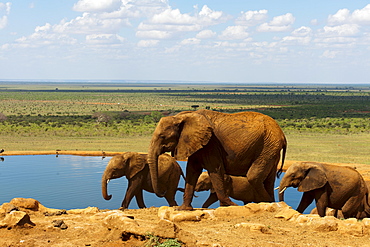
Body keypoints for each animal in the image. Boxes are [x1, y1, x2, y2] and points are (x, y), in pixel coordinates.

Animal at [147, 109, 286, 210]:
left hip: (268, 146)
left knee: (254, 177)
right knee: (269, 180)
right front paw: (183, 209)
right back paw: (271, 204)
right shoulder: (197, 144)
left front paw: (231, 206)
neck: (182, 117)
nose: (163, 191)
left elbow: (215, 170)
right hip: (271, 148)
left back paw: (267, 204)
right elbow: (192, 170)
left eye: (162, 136)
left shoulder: (211, 144)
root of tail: (282, 134)